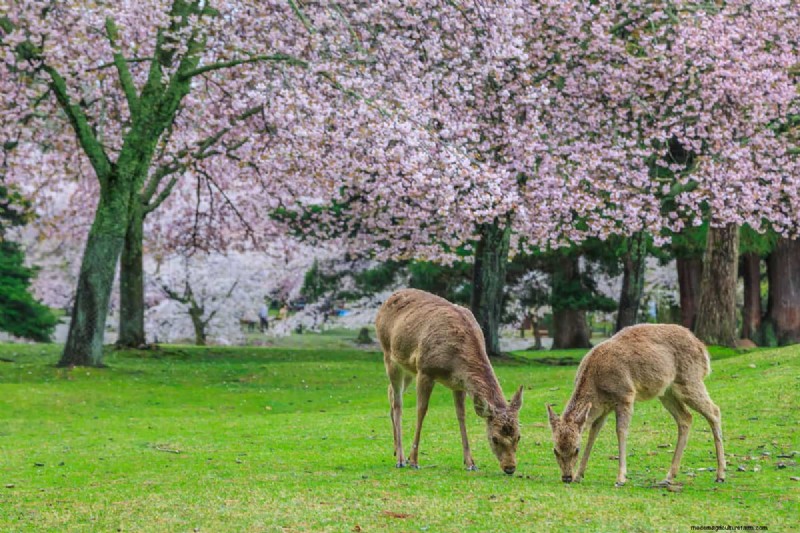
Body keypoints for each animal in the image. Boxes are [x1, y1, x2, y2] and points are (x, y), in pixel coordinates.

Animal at [376, 288, 524, 475]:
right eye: (494, 438)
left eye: (518, 436)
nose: (510, 467)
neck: (455, 363)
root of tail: (389, 298)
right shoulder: (425, 370)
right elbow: (421, 411)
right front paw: (414, 460)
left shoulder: (458, 384)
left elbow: (461, 415)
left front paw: (470, 462)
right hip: (389, 354)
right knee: (397, 404)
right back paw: (401, 459)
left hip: (408, 367)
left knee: (390, 392)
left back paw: (395, 450)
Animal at [546, 323, 725, 486]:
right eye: (555, 449)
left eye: (576, 449)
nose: (566, 477)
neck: (596, 385)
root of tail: (703, 350)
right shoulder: (603, 407)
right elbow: (593, 433)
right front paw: (579, 475)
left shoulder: (625, 395)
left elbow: (621, 431)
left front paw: (620, 478)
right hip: (666, 392)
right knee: (686, 417)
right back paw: (668, 477)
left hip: (689, 379)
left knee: (714, 410)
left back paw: (720, 475)